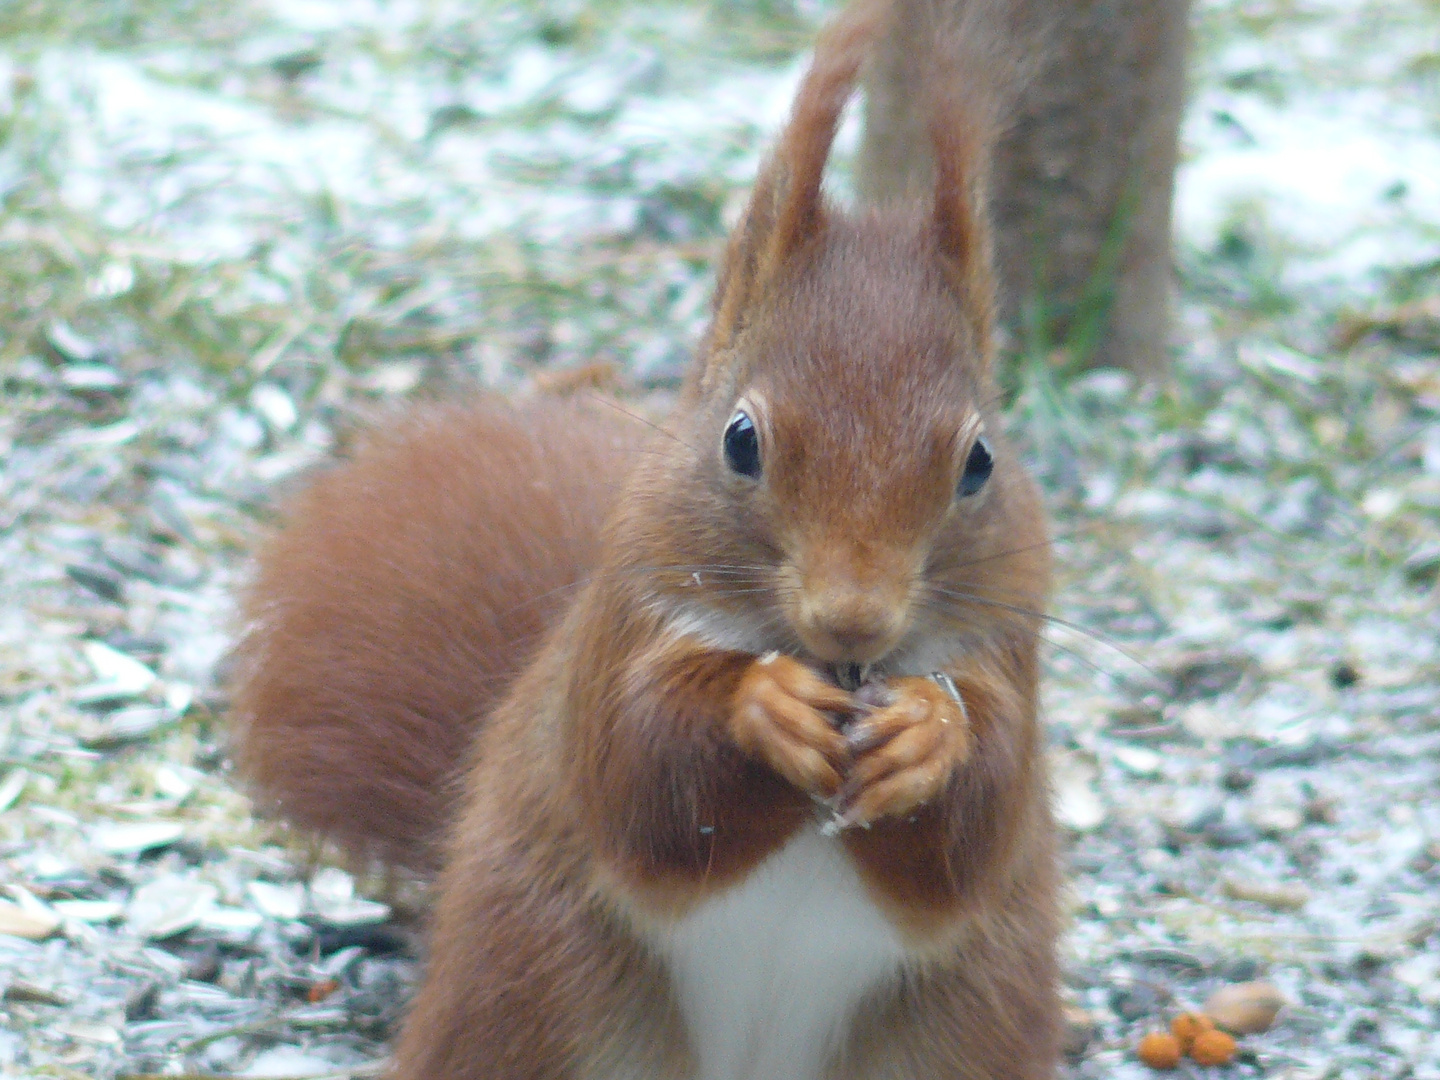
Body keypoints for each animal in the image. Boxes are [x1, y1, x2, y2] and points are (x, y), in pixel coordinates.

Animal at [233, 4, 1059, 1077]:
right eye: (740, 439)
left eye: (980, 462)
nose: (853, 620)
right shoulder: (618, 628)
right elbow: (642, 773)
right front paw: (763, 704)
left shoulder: (1010, 655)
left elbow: (975, 825)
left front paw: (929, 731)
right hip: (540, 986)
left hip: (963, 1023)